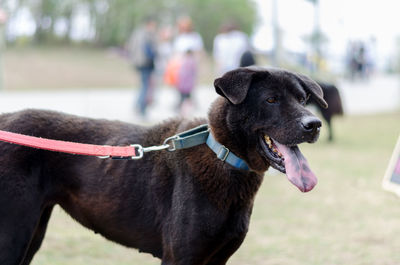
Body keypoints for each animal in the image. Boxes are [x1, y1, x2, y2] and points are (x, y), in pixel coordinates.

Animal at [0, 66, 326, 264]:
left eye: (302, 99)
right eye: (271, 99)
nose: (315, 125)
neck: (223, 156)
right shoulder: (180, 258)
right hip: (13, 237)